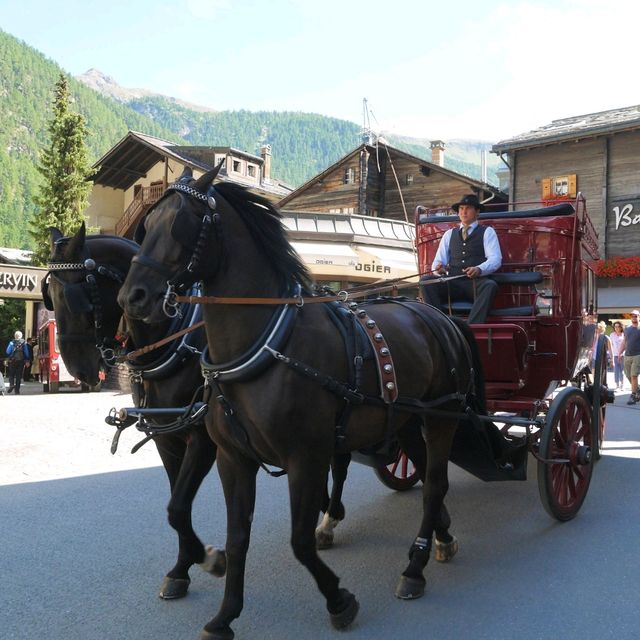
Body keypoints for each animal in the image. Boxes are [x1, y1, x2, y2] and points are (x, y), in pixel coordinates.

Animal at [45, 226, 225, 600]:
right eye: (49, 297)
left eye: (75, 297)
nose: (78, 371)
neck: (177, 344)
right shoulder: (167, 439)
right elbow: (177, 505)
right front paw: (182, 568)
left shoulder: (202, 438)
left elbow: (178, 507)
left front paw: (208, 558)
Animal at [119, 171, 480, 640]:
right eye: (147, 225)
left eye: (183, 222)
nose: (133, 297)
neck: (265, 346)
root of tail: (441, 316)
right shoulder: (233, 458)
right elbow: (236, 537)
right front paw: (224, 613)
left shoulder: (305, 458)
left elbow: (301, 541)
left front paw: (338, 599)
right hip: (405, 419)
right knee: (423, 474)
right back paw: (442, 537)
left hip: (441, 419)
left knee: (435, 483)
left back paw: (414, 568)